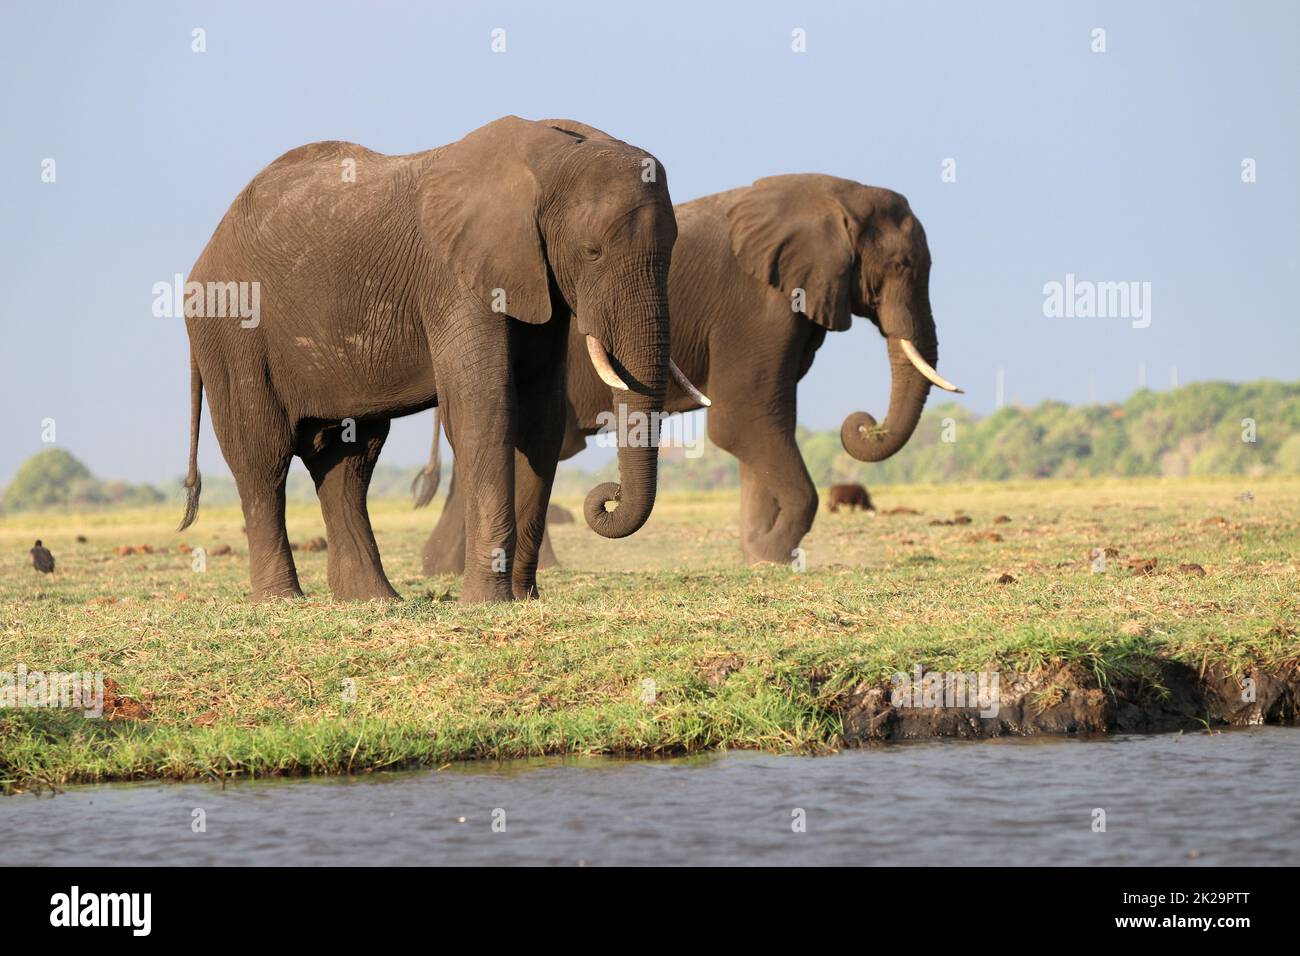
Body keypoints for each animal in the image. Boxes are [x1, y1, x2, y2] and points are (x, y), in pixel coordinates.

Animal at [179, 115, 707, 600]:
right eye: (591, 252)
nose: (606, 497)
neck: (548, 156)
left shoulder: (537, 279)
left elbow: (542, 417)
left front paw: (523, 599)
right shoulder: (455, 278)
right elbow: (484, 410)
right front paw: (486, 603)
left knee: (349, 461)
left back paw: (374, 600)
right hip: (232, 330)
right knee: (262, 456)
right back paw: (283, 599)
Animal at [421, 169, 961, 572]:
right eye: (901, 265)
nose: (863, 423)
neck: (830, 192)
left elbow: (763, 425)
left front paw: (757, 552)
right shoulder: (758, 306)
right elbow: (743, 420)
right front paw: (772, 554)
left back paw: (441, 569)